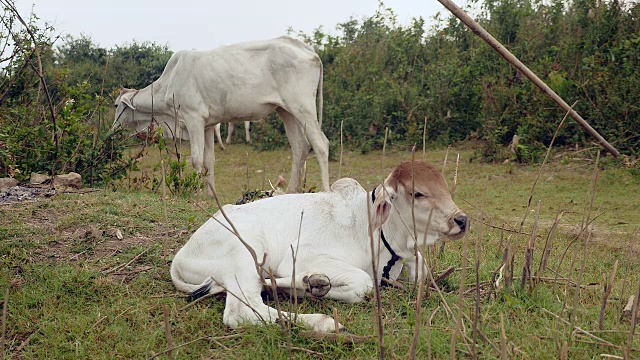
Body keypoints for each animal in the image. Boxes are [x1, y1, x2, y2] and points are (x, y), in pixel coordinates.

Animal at [111, 36, 330, 194]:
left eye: (115, 105)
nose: (112, 131)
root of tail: (306, 48)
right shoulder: (208, 125)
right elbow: (209, 160)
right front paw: (210, 194)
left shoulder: (193, 119)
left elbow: (197, 160)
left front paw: (197, 194)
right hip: (286, 111)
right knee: (300, 147)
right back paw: (292, 191)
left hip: (303, 107)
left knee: (320, 145)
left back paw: (326, 190)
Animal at [171, 162, 470, 334]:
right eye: (418, 193)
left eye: (444, 186)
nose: (462, 220)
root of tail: (181, 256)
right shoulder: (303, 255)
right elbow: (363, 283)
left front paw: (308, 284)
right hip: (245, 254)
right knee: (241, 312)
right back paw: (323, 322)